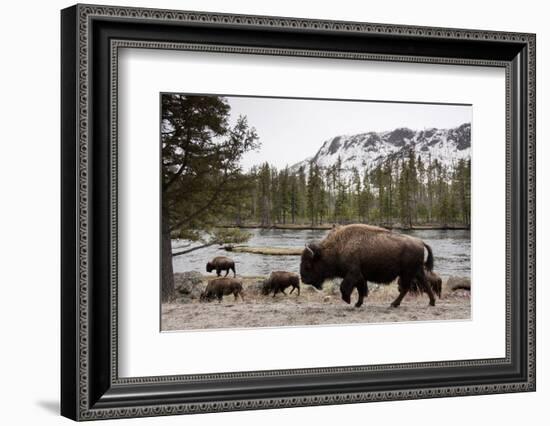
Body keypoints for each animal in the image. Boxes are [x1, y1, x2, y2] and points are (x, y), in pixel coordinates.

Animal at [300, 225, 438, 308]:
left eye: (308, 265)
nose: (303, 279)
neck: (337, 248)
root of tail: (420, 242)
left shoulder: (353, 274)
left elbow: (344, 287)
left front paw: (348, 300)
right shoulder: (360, 277)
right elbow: (361, 290)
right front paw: (357, 304)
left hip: (407, 273)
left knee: (406, 288)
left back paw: (394, 304)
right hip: (416, 271)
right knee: (424, 284)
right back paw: (430, 302)